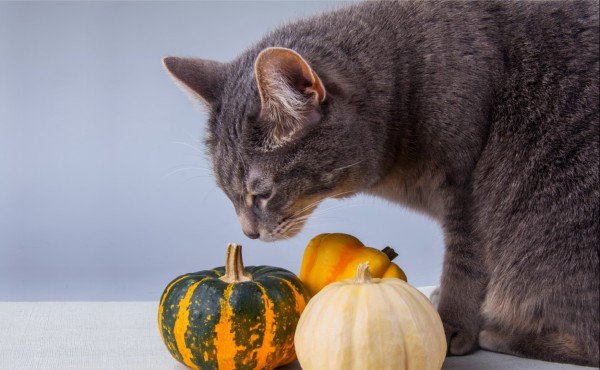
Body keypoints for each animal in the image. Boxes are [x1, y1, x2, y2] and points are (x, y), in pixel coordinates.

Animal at [162, 0, 596, 368]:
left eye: (262, 193)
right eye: (228, 194)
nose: (247, 234)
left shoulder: (467, 188)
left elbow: (465, 262)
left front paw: (450, 323)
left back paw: (499, 333)